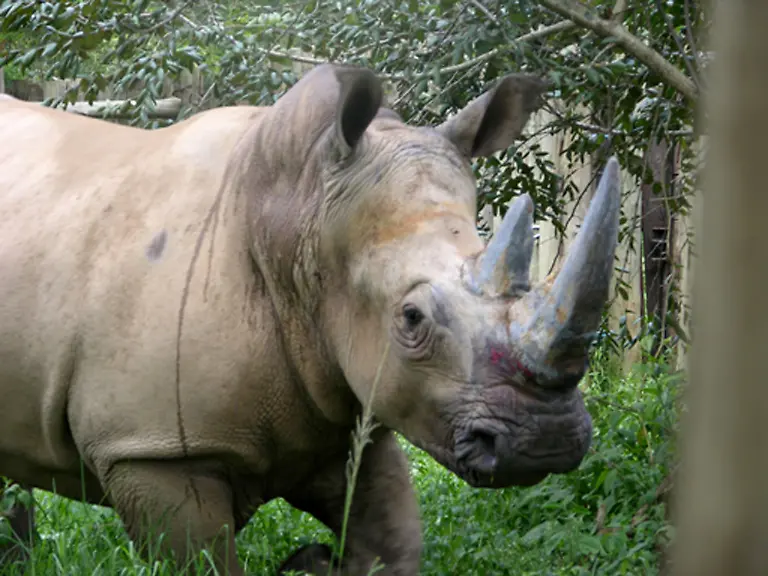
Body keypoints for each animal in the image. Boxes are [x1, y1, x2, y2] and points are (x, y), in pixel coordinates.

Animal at [0, 63, 621, 575]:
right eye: (411, 318)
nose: (547, 441)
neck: (300, 219)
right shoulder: (155, 449)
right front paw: (311, 559)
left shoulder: (351, 408)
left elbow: (393, 545)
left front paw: (316, 561)